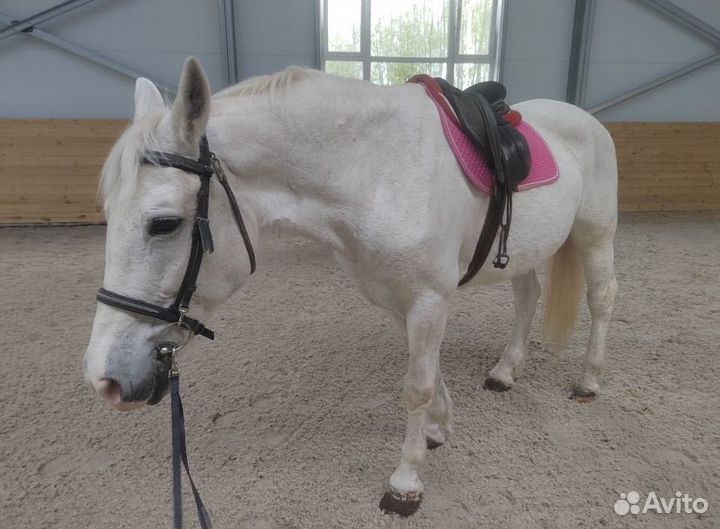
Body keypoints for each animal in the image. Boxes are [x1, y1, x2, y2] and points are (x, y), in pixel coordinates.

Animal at [84, 57, 618, 515]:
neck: (376, 169)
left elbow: (417, 386)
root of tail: (584, 119)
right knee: (527, 300)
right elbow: (429, 372)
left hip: (594, 237)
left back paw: (589, 380)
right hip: (526, 250)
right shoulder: (397, 300)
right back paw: (506, 371)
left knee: (601, 300)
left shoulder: (428, 299)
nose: (104, 379)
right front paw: (437, 429)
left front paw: (406, 482)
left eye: (164, 223)